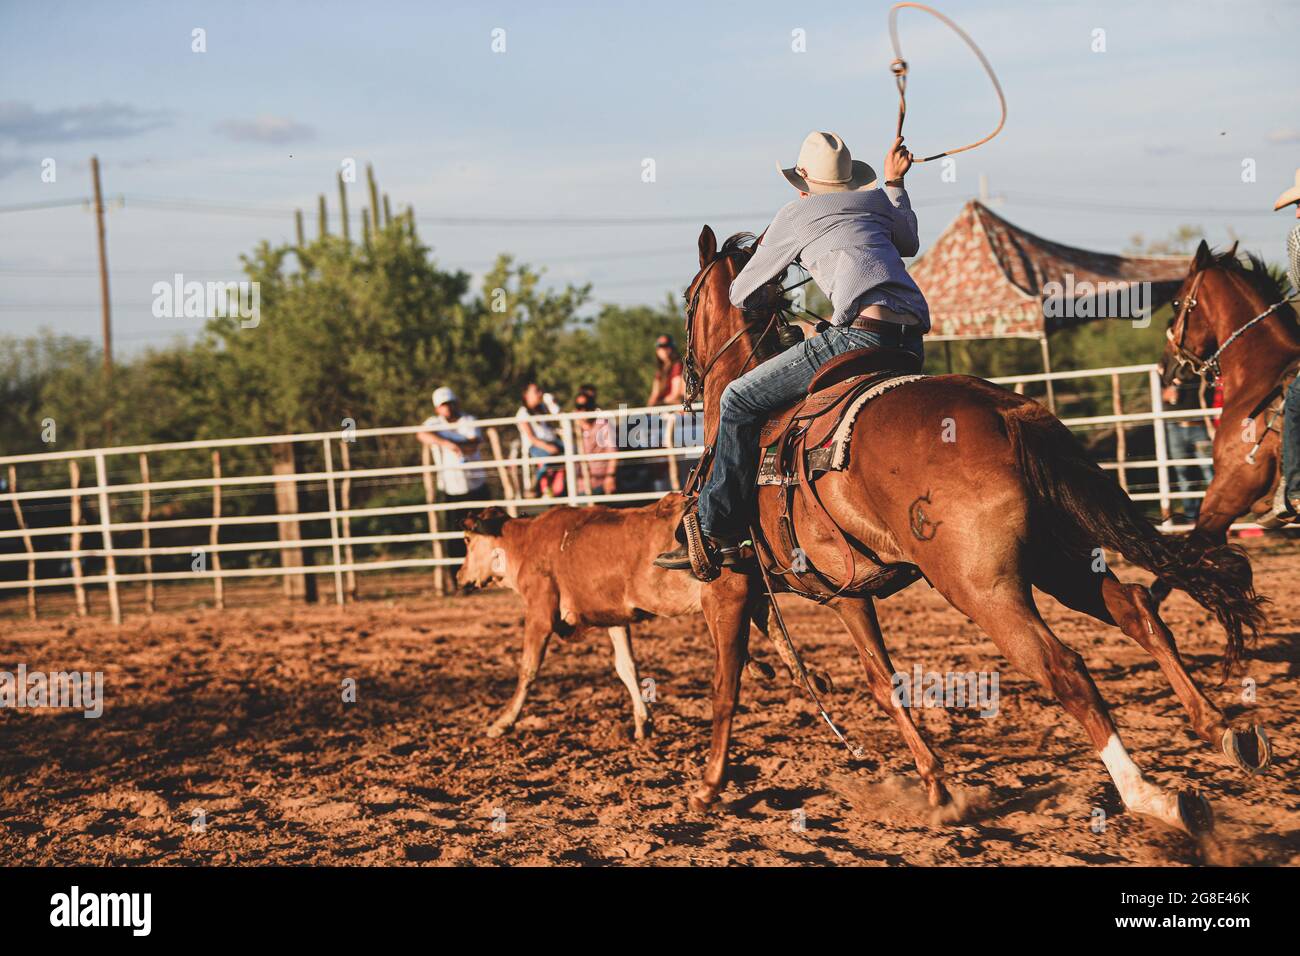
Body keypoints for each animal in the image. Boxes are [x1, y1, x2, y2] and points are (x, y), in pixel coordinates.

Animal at [680, 225, 1269, 834]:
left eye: (688, 300)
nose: (689, 380)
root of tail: (1007, 413)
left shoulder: (730, 587)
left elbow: (726, 687)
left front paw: (708, 786)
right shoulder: (847, 593)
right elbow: (884, 682)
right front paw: (936, 785)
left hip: (982, 588)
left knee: (1063, 667)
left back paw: (1152, 796)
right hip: (1058, 559)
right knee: (1138, 611)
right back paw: (1225, 732)